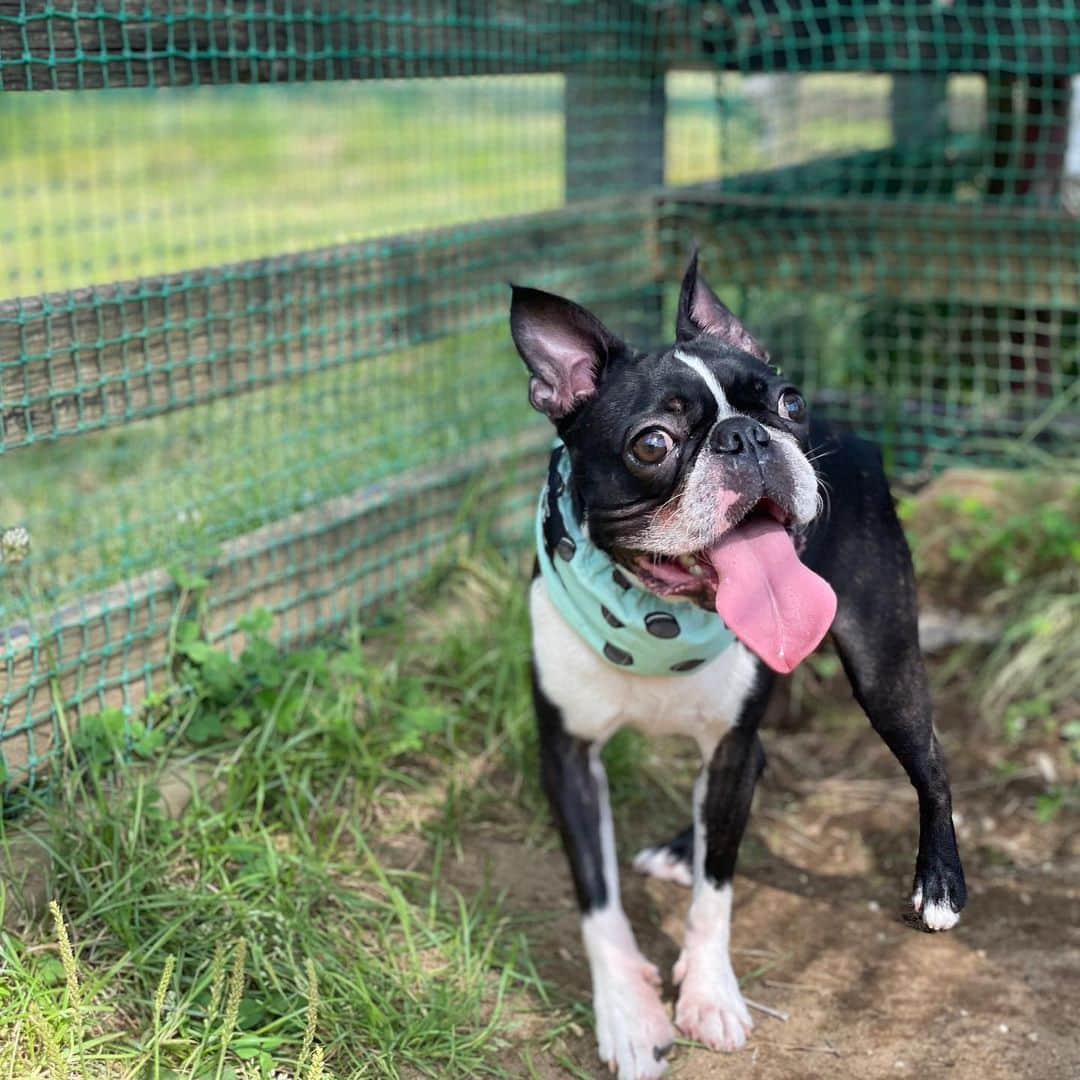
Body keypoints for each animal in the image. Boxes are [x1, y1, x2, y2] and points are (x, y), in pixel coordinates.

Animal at [507, 257, 972, 1075]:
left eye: (789, 401)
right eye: (652, 444)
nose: (747, 435)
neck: (653, 617)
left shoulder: (726, 747)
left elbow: (717, 891)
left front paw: (709, 996)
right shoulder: (568, 755)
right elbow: (598, 904)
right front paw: (629, 1018)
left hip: (882, 661)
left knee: (930, 757)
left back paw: (940, 881)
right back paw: (677, 845)